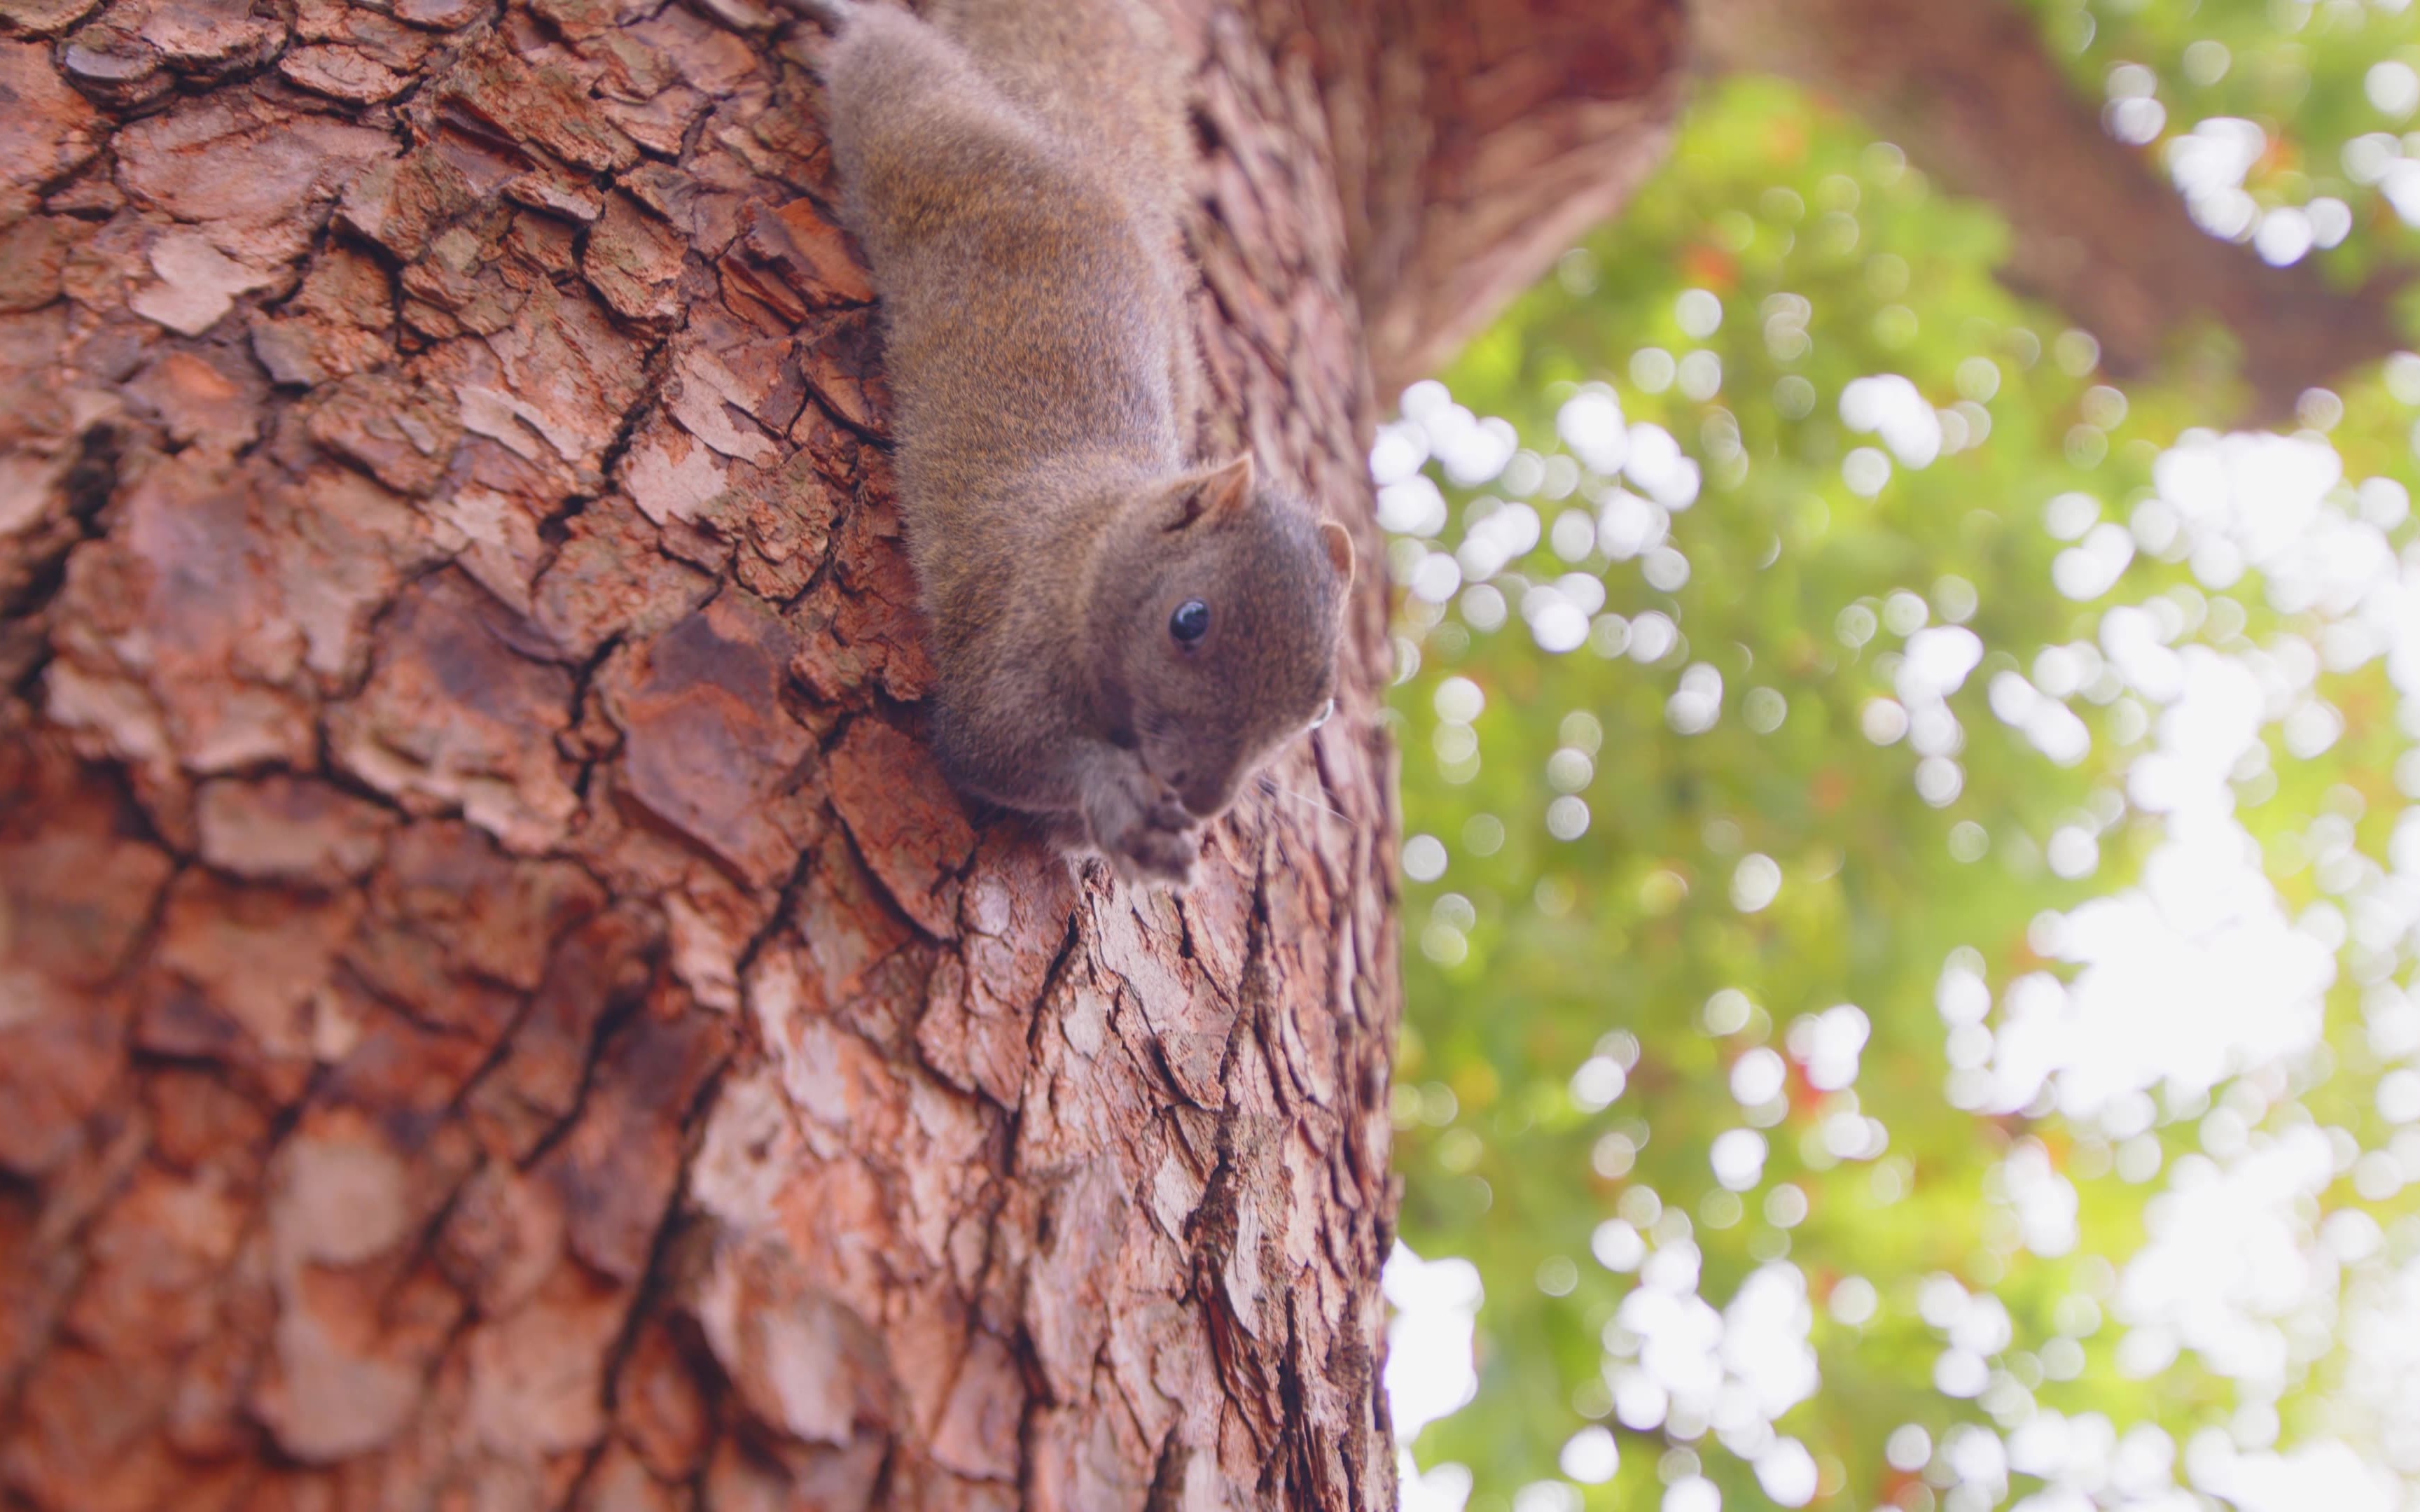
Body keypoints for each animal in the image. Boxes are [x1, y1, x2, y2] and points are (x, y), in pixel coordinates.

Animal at [793, 0, 1365, 885]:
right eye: (1189, 621)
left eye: (1321, 707)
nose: (1206, 799)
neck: (1096, 542)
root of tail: (1089, 158)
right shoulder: (1013, 638)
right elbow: (993, 744)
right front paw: (1116, 795)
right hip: (920, 127)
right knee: (894, 60)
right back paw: (846, 16)